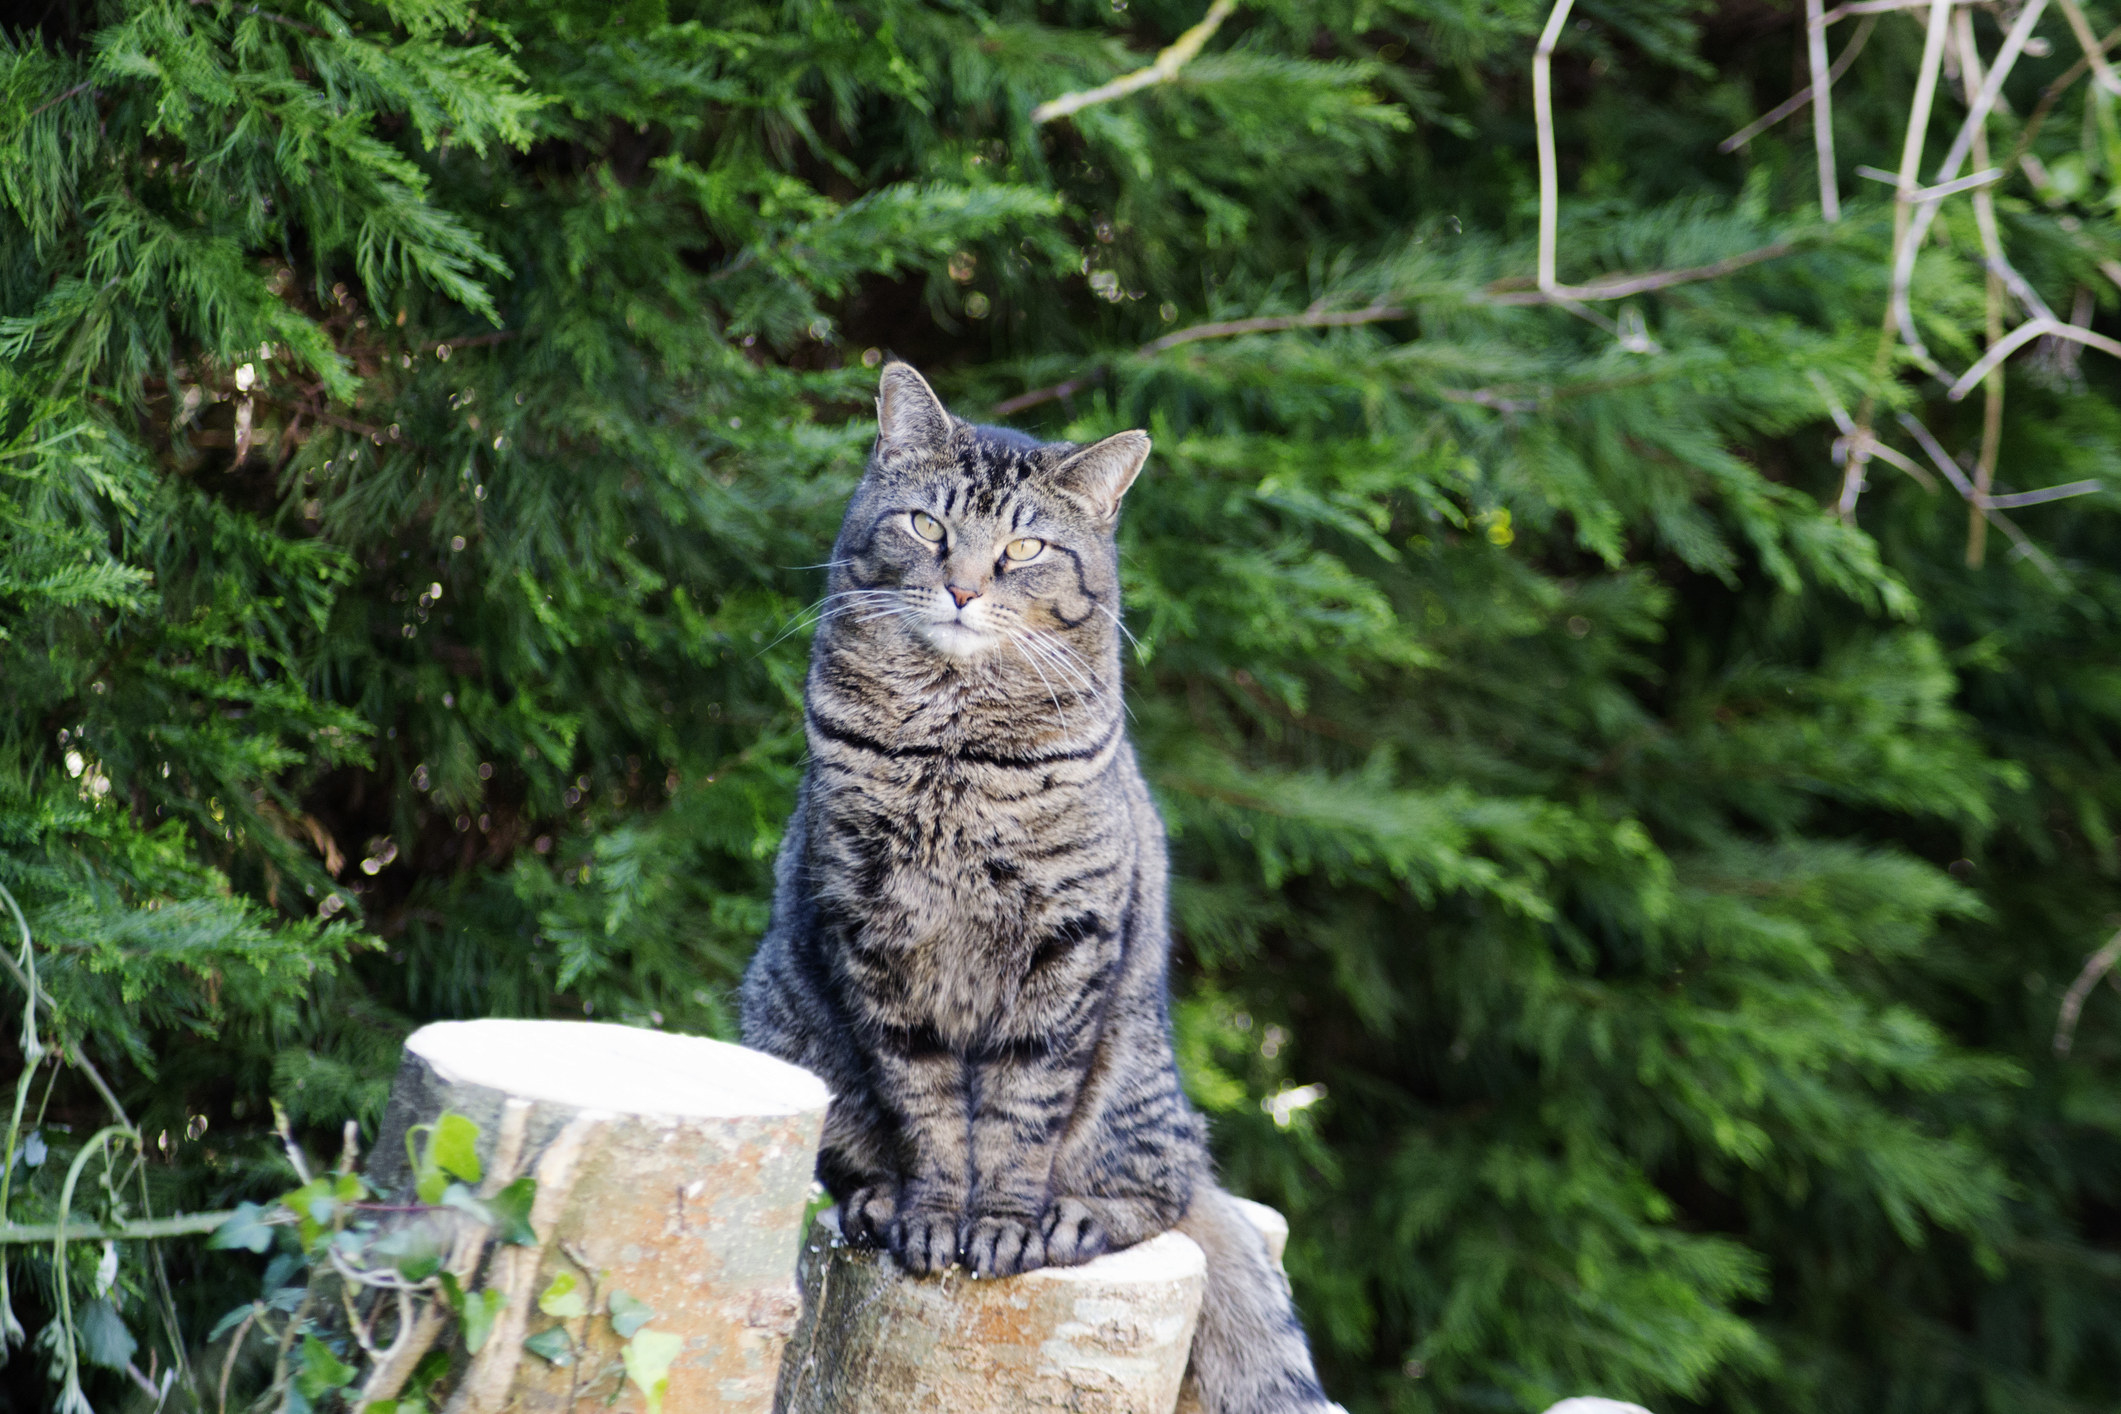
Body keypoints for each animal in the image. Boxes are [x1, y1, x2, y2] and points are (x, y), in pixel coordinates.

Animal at [746, 360, 1331, 1407]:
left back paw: (1074, 1217)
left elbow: (1020, 1110)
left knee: (1162, 1190)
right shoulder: (872, 933)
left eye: (1023, 548)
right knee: (854, 1160)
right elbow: (929, 1107)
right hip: (784, 1015)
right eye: (926, 526)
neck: (953, 748)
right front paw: (935, 1215)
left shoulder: (1066, 939)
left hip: (1133, 1074)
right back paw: (878, 1202)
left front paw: (1003, 1226)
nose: (963, 588)